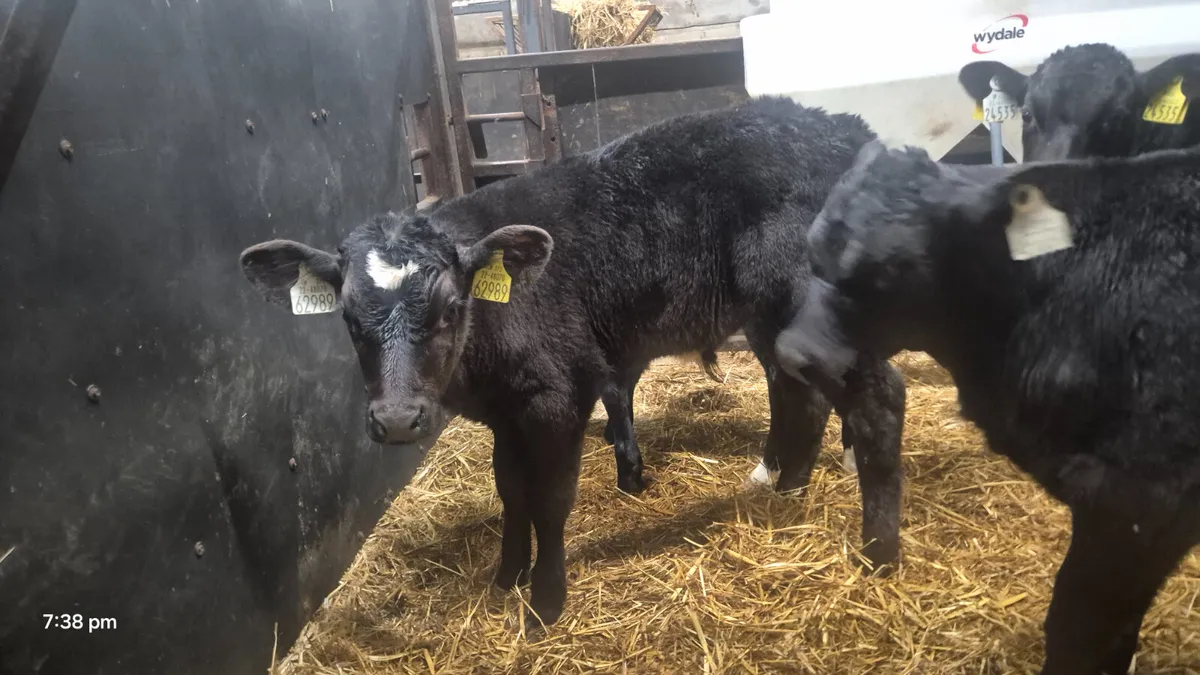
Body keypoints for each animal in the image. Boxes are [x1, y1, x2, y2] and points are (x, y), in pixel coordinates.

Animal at [237, 97, 906, 630]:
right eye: (349, 320)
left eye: (452, 307)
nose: (398, 419)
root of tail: (845, 129)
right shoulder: (507, 410)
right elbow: (511, 491)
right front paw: (506, 577)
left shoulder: (558, 395)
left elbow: (551, 498)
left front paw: (545, 602)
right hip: (771, 316)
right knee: (800, 394)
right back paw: (785, 492)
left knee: (877, 395)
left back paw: (878, 554)